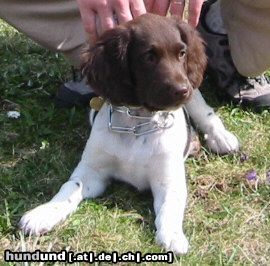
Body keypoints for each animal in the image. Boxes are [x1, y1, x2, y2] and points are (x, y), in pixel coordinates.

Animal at [19, 14, 238, 254]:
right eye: (148, 57)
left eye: (182, 53)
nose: (182, 90)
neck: (137, 122)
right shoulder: (92, 172)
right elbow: (69, 188)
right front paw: (44, 213)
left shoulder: (168, 180)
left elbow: (171, 206)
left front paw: (172, 235)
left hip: (195, 99)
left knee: (205, 112)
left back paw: (221, 138)